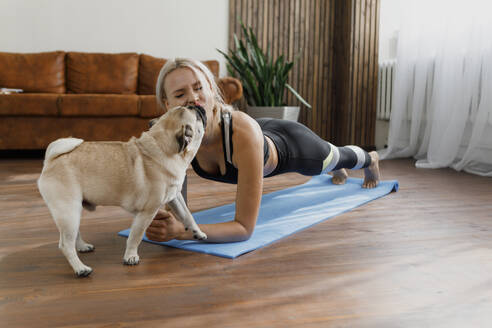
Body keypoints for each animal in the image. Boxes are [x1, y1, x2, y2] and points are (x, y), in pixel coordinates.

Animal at [38, 105, 208, 276]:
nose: (198, 106)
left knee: (73, 236)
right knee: (65, 244)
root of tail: (52, 160)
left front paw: (197, 232)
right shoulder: (147, 212)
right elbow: (135, 236)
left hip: (74, 210)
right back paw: (81, 268)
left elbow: (187, 215)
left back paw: (82, 246)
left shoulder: (175, 197)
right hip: (68, 210)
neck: (162, 147)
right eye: (197, 117)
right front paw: (130, 256)